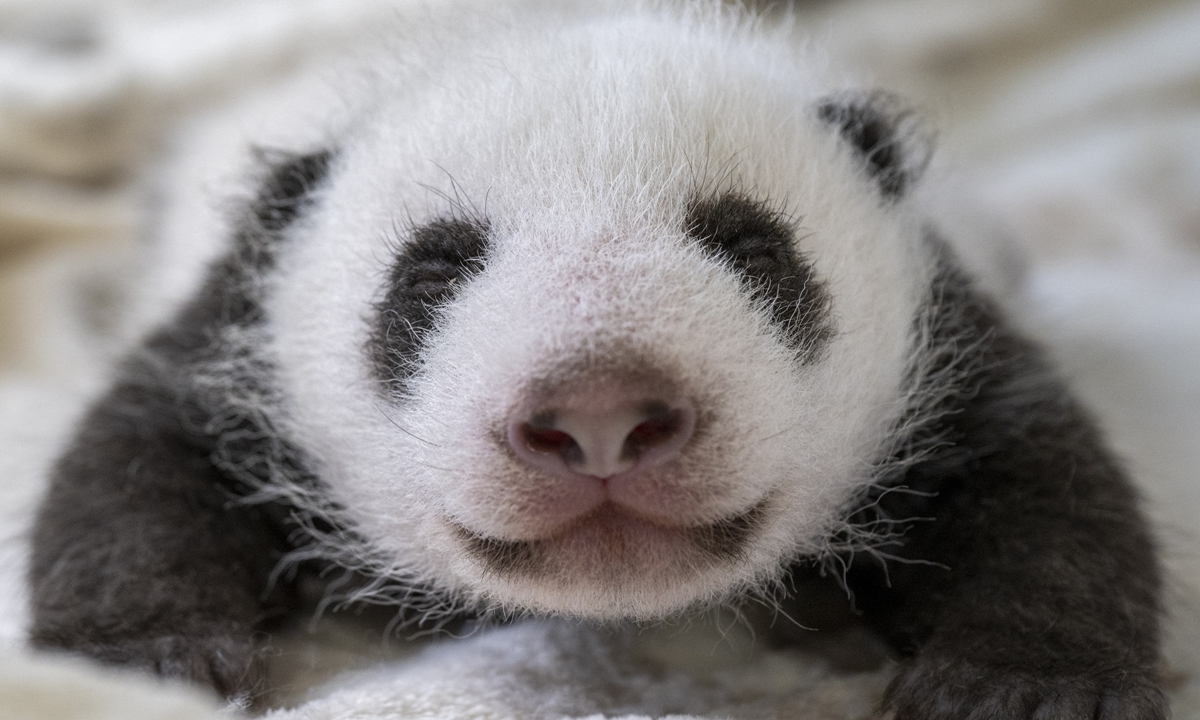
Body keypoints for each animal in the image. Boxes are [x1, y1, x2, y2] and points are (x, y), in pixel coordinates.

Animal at [27, 2, 1165, 718]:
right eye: (429, 276)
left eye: (754, 249)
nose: (601, 414)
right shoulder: (244, 321)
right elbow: (135, 462)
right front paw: (144, 656)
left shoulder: (934, 332)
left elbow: (1040, 476)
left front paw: (1025, 684)